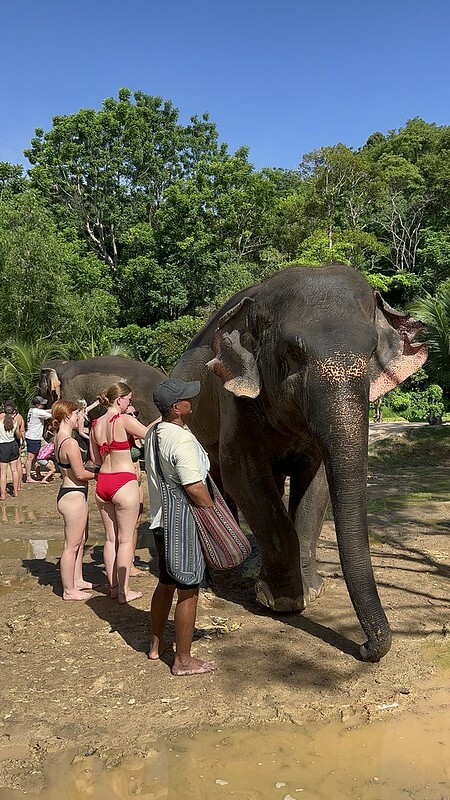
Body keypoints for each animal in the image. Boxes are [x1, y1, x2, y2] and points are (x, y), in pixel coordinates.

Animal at [172, 263, 428, 662]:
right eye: (292, 354)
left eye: (372, 351)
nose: (364, 647)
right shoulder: (236, 401)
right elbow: (243, 475)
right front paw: (282, 601)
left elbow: (317, 481)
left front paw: (311, 591)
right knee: (218, 479)